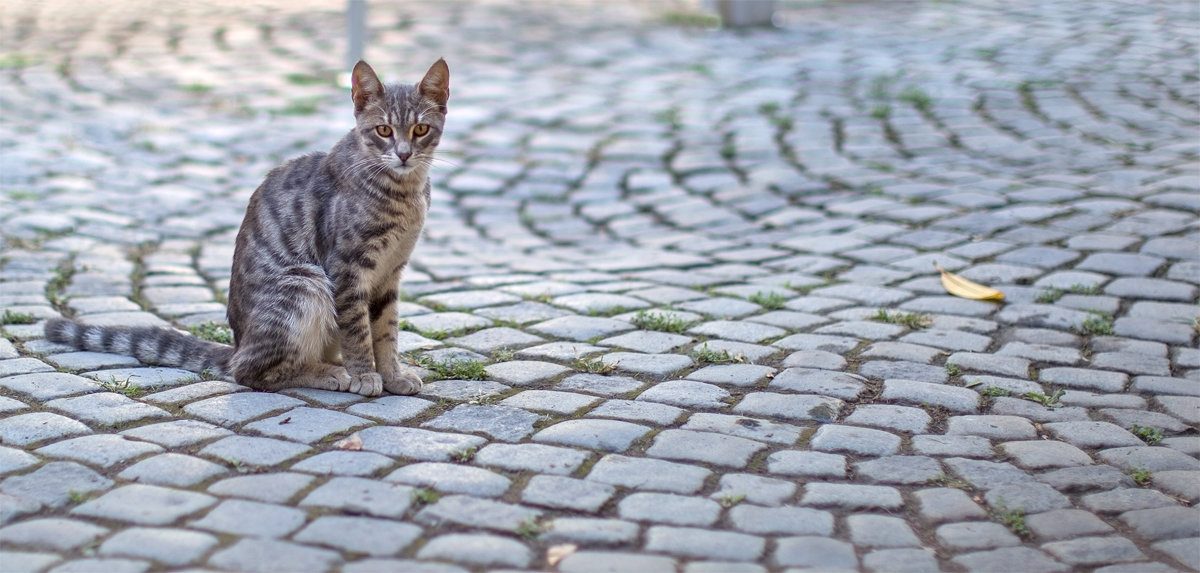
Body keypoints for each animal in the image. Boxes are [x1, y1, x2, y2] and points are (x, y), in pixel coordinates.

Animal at [44, 59, 451, 397]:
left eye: (420, 129)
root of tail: (238, 343)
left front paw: (392, 374)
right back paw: (330, 373)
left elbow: (385, 332)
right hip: (304, 283)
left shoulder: (389, 274)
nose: (403, 154)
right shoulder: (348, 270)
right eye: (383, 130)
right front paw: (366, 374)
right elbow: (358, 332)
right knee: (252, 372)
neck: (404, 195)